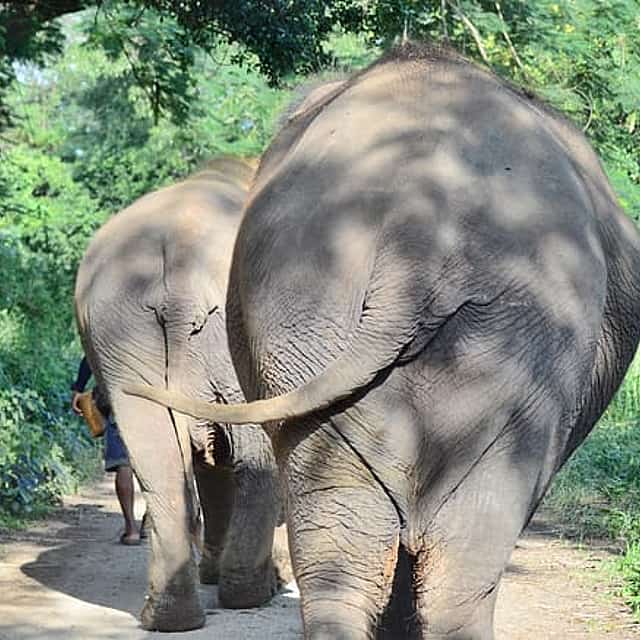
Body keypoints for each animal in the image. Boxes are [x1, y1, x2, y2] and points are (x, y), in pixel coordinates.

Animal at [74, 157, 282, 631]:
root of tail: (180, 280)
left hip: (122, 329)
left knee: (159, 457)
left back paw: (170, 616)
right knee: (250, 451)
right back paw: (251, 593)